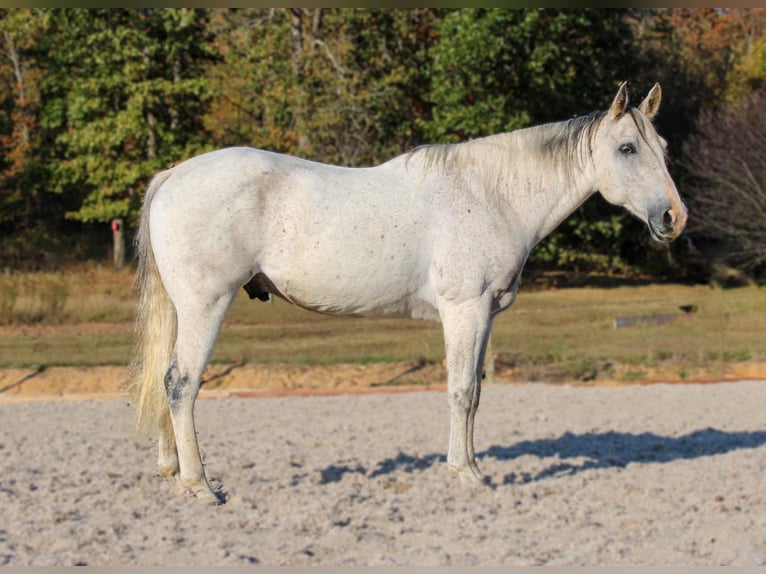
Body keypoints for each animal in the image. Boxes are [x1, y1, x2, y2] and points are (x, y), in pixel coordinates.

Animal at [130, 81, 688, 504]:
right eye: (627, 148)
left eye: (663, 149)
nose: (673, 218)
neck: (493, 194)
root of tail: (174, 174)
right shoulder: (466, 311)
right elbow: (461, 391)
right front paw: (466, 474)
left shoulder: (483, 317)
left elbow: (476, 391)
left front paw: (472, 466)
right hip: (206, 306)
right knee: (182, 383)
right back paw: (200, 486)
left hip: (184, 309)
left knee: (166, 380)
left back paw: (171, 473)